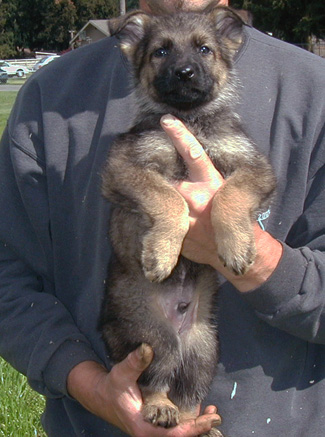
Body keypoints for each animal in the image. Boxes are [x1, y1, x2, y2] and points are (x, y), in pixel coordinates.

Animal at [100, 1, 274, 434]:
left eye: (204, 50)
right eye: (160, 51)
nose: (184, 73)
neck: (191, 119)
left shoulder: (255, 169)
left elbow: (230, 194)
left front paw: (235, 245)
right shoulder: (126, 168)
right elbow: (169, 199)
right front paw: (162, 254)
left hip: (204, 347)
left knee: (190, 393)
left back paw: (199, 423)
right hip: (152, 337)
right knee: (155, 380)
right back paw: (159, 408)